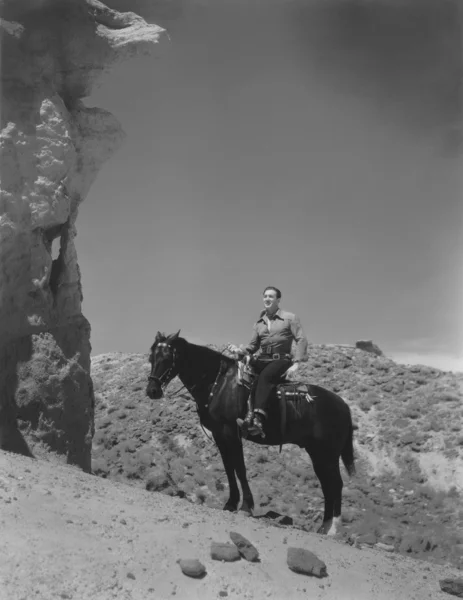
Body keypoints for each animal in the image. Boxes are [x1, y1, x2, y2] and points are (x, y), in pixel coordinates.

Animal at [147, 332, 358, 536]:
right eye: (151, 357)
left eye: (167, 357)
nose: (152, 391)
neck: (219, 383)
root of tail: (343, 405)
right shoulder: (219, 435)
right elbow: (228, 468)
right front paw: (231, 503)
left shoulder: (231, 433)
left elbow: (240, 468)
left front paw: (246, 506)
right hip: (317, 454)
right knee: (327, 485)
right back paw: (323, 527)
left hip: (328, 454)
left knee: (336, 484)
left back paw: (333, 528)